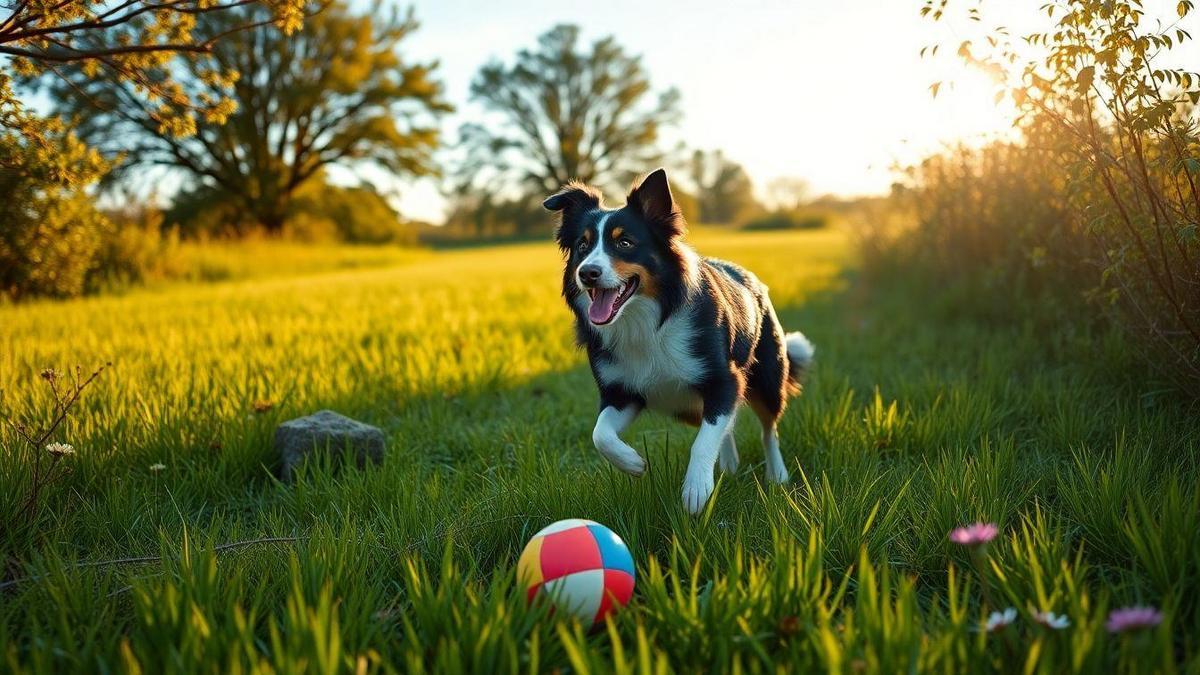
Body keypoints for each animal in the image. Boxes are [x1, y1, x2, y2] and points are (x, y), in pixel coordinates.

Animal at [547, 166, 816, 509]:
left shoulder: (724, 379)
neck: (647, 321)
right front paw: (633, 463)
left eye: (625, 242)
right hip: (687, 407)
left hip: (767, 379)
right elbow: (600, 434)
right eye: (583, 246)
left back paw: (777, 476)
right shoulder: (623, 392)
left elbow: (704, 440)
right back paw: (729, 466)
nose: (587, 273)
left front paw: (697, 489)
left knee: (768, 429)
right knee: (727, 426)